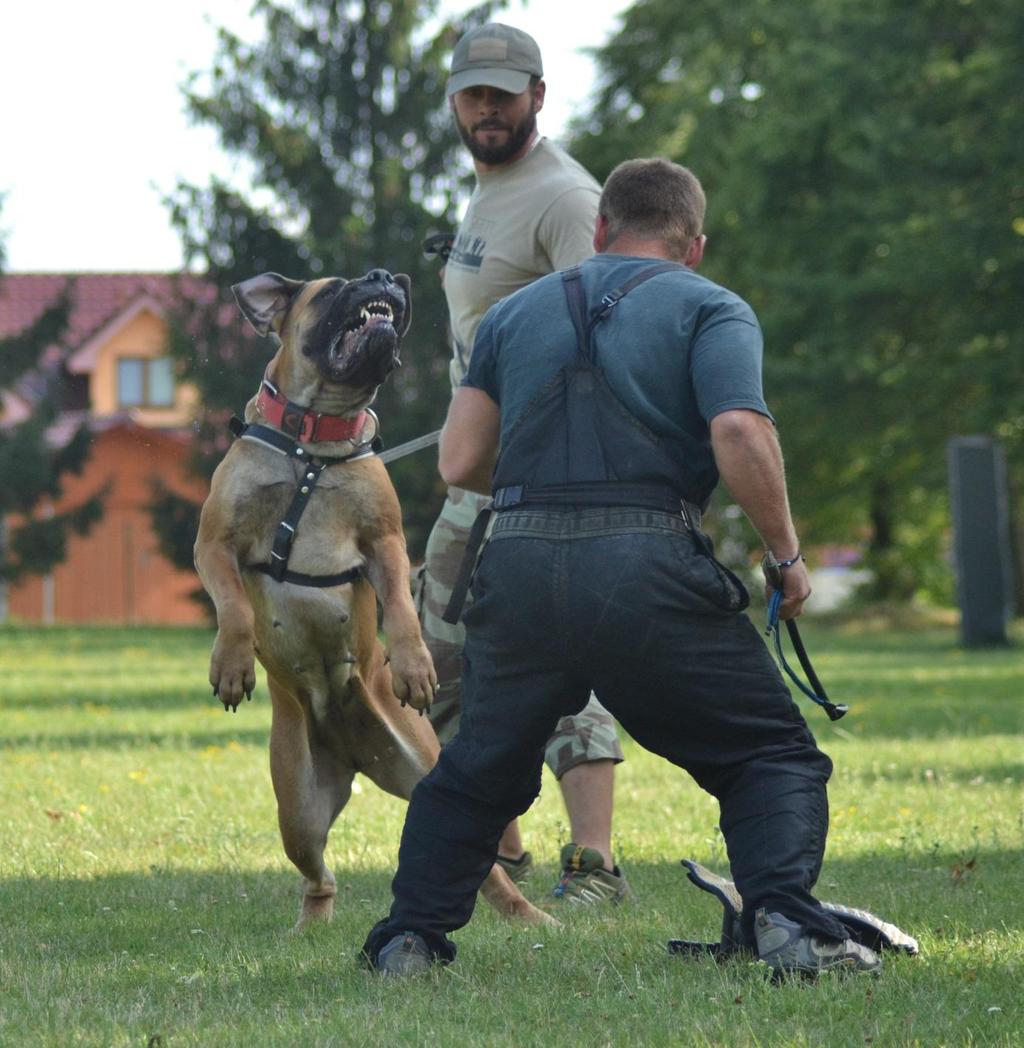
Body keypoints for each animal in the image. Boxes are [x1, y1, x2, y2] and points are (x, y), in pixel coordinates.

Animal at [198, 268, 553, 926]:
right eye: (335, 287)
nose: (387, 275)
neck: (314, 446)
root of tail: (354, 748)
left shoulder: (387, 543)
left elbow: (405, 613)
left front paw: (413, 667)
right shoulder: (214, 545)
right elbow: (233, 607)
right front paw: (232, 665)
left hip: (425, 768)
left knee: (488, 869)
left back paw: (528, 914)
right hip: (297, 809)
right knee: (319, 876)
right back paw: (310, 928)